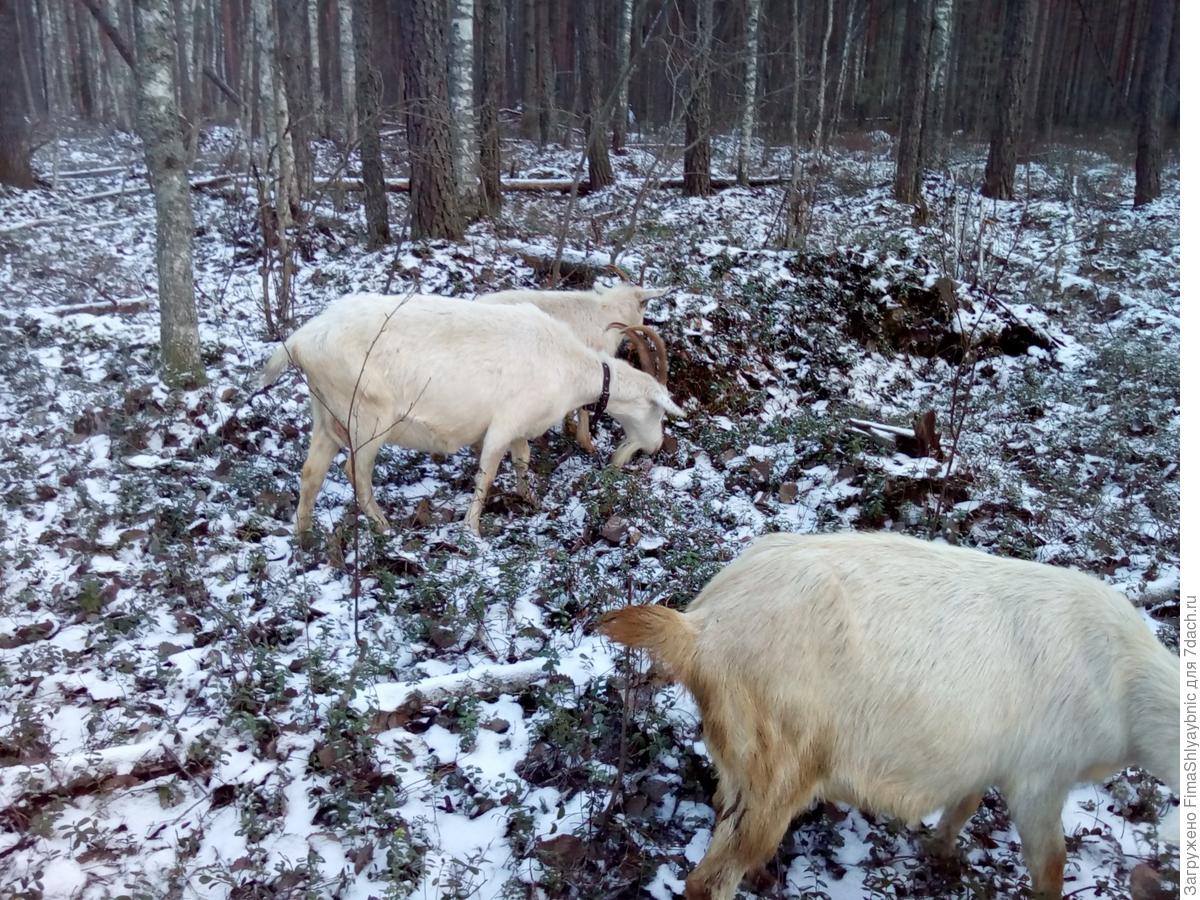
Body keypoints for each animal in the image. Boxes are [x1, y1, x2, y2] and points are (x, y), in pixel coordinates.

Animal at [256, 294, 681, 535]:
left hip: (325, 412)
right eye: (659, 412)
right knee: (355, 475)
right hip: (366, 415)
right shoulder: (503, 425)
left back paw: (302, 538)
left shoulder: (521, 426)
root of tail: (300, 341)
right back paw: (384, 529)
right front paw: (472, 530)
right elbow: (487, 472)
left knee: (311, 473)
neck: (569, 366)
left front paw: (531, 500)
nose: (656, 446)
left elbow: (522, 460)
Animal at [595, 535, 1176, 900]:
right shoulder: (1041, 777)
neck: (1127, 685)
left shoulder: (988, 758)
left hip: (747, 757)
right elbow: (1051, 865)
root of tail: (702, 628)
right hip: (780, 762)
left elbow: (965, 802)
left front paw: (939, 851)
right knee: (708, 881)